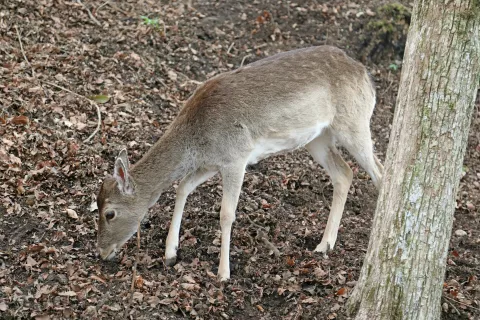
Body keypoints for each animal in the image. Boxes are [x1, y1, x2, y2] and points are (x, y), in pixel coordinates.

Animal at [95, 45, 384, 280]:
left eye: (109, 213)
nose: (101, 252)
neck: (196, 140)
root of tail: (366, 76)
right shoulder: (213, 162)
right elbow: (183, 186)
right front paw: (170, 253)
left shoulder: (236, 156)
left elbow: (226, 213)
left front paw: (223, 273)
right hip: (317, 138)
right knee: (344, 173)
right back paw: (325, 244)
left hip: (354, 122)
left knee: (381, 173)